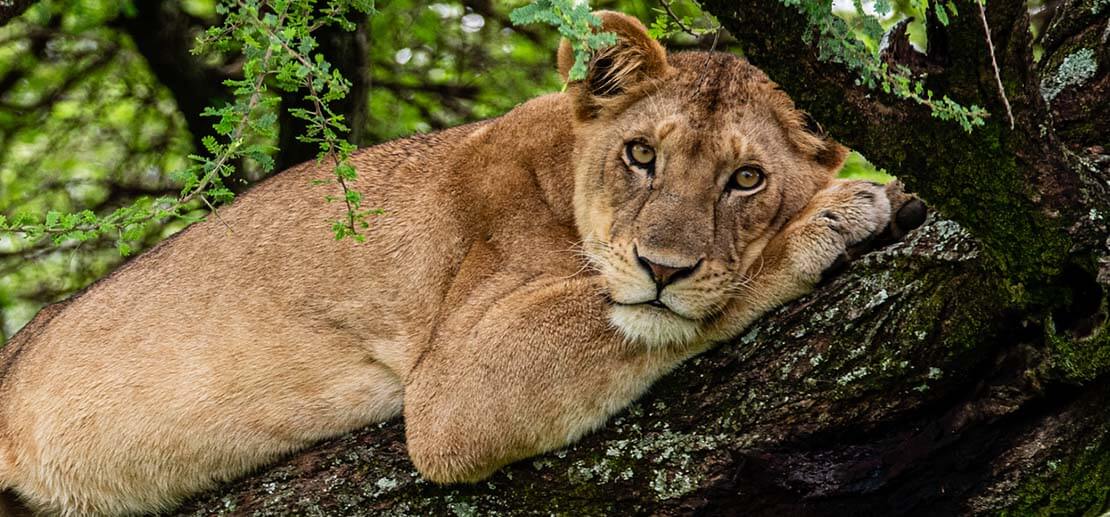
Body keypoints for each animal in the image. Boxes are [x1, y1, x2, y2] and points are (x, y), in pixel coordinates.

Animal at [0, 12, 915, 516]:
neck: (560, 162)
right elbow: (671, 308)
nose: (663, 266)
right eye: (641, 154)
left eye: (747, 178)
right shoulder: (451, 398)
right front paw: (839, 211)